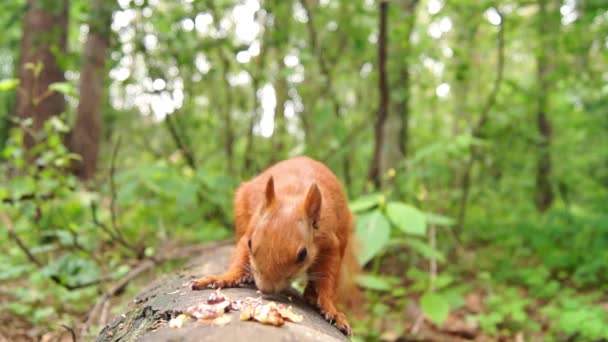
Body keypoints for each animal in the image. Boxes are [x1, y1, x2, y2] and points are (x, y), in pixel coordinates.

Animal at [192, 156, 358, 336]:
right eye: (251, 243)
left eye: (303, 255)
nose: (266, 289)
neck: (294, 195)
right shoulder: (250, 229)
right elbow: (239, 259)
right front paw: (223, 278)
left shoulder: (330, 244)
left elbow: (328, 278)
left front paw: (332, 310)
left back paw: (311, 295)